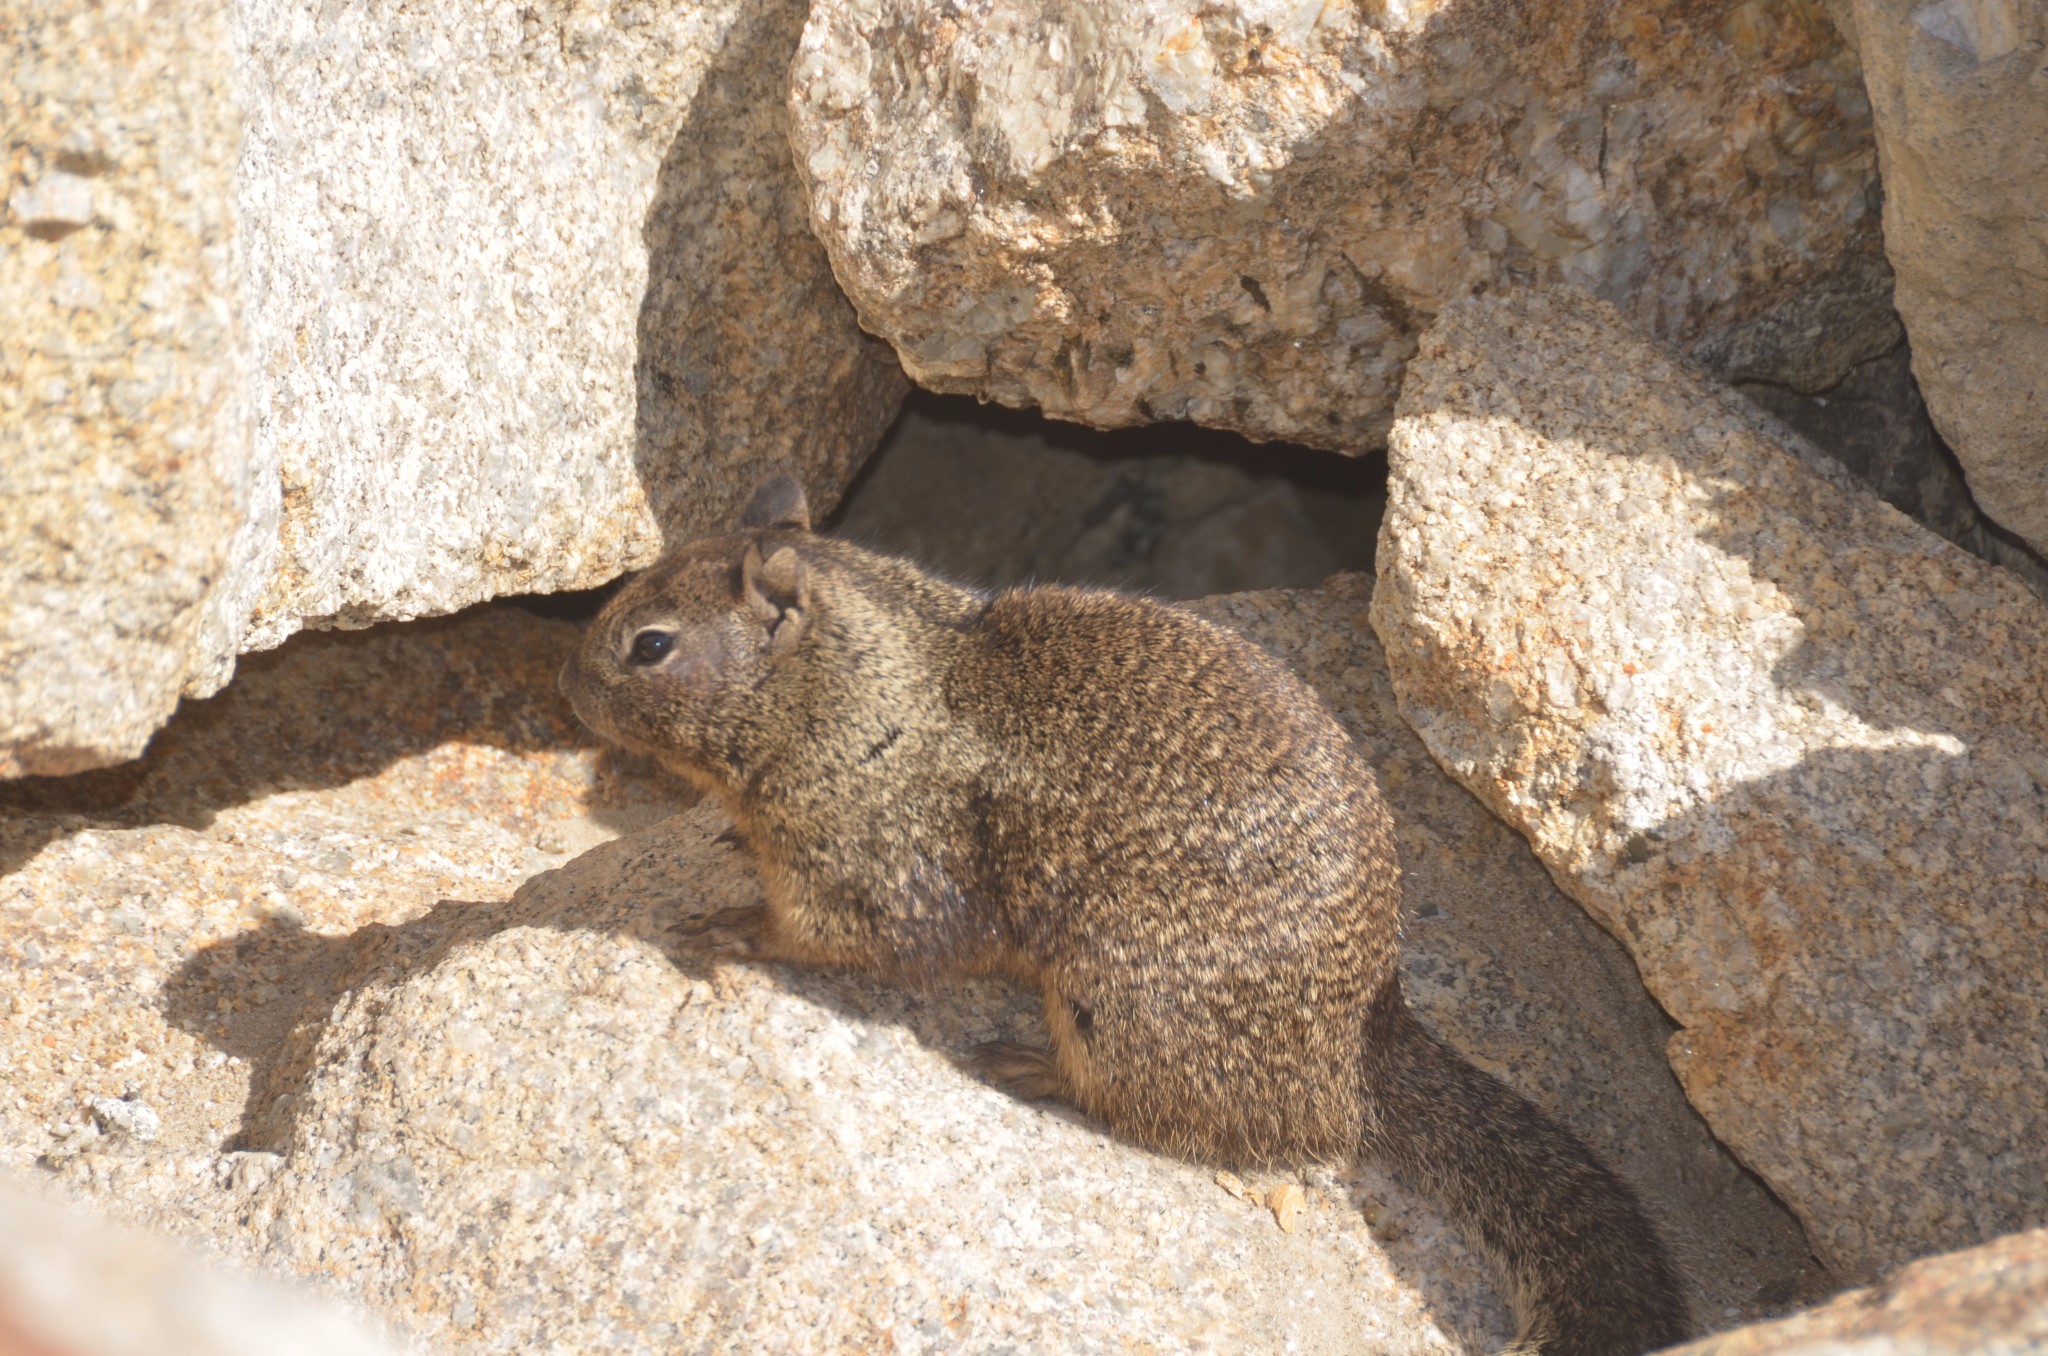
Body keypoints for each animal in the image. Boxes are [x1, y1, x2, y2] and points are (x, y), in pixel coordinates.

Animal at [557, 475, 1679, 1351]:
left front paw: (729, 928)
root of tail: (1366, 1041)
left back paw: (1030, 1065)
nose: (569, 686)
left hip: (1119, 992)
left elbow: (839, 935)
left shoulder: (873, 859)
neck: (860, 691)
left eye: (649, 645)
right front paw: (723, 845)